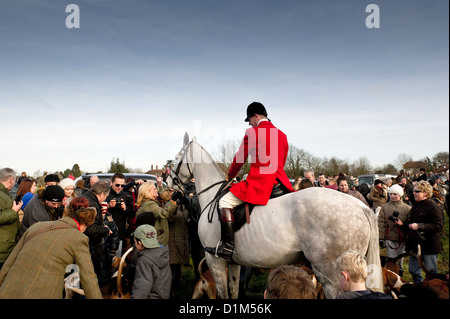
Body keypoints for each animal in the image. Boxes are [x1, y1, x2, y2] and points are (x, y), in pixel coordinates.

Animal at [166, 133, 384, 300]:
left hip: (331, 273)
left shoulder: (214, 259)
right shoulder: (234, 263)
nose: (168, 182)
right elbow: (234, 292)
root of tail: (360, 207)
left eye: (176, 158)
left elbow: (223, 295)